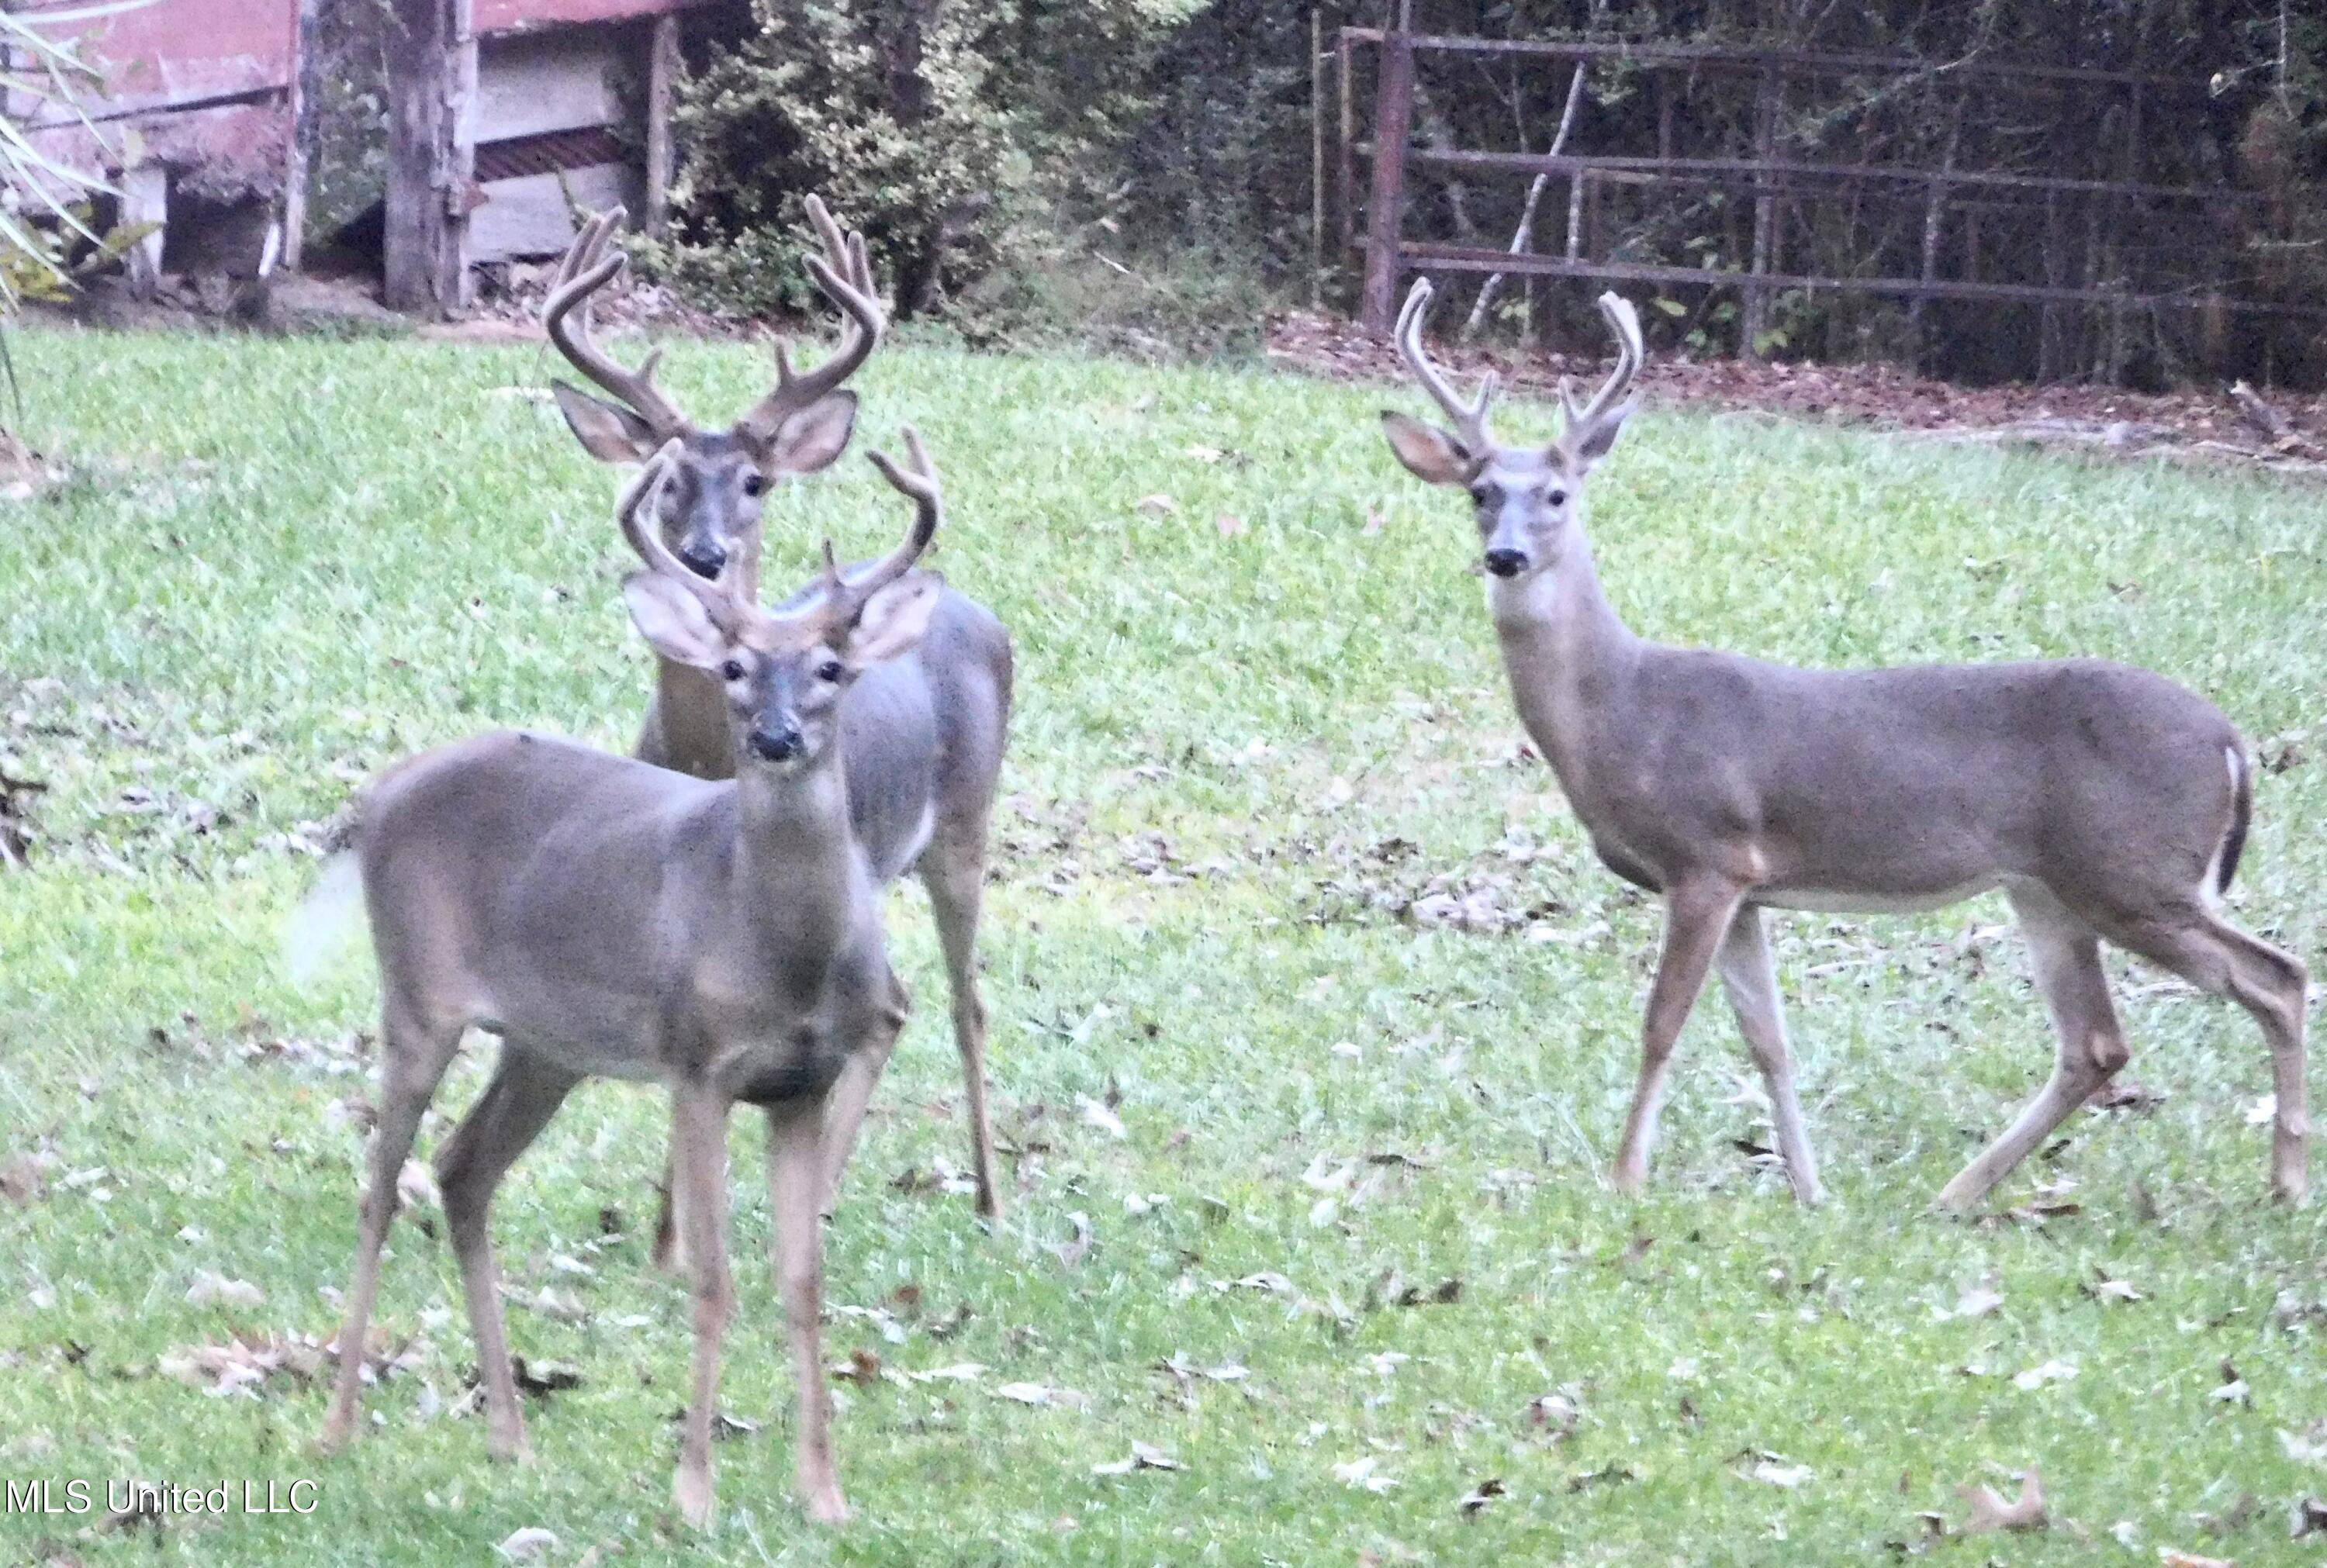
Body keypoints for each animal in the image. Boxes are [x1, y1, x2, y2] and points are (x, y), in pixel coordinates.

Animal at [317, 432, 954, 1528]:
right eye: (734, 666)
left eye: (831, 666)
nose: (775, 737)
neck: (778, 954)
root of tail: (381, 787)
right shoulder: (698, 1065)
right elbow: (712, 1279)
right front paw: (693, 1491)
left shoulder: (804, 1083)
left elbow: (801, 1281)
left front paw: (823, 1493)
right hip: (417, 998)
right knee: (379, 1186)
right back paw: (340, 1426)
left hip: (544, 1046)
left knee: (461, 1169)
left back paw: (510, 1436)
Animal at [541, 201, 1012, 1240]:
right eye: (666, 478)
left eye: (755, 482)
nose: (706, 557)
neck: (703, 757)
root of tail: (974, 610)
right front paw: (667, 1228)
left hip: (961, 822)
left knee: (951, 1003)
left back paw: (984, 1195)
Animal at [1378, 277, 2308, 1212]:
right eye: (1479, 491)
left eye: (1558, 495)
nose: (1505, 556)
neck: (1626, 711)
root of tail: (2231, 741)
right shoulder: (1749, 888)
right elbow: (1769, 1040)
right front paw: (1808, 1189)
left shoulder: (1705, 856)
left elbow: (1662, 1023)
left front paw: (1626, 1177)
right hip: (2050, 885)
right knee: (2098, 1043)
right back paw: (1956, 1195)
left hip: (2134, 871)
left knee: (2279, 978)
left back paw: (2287, 1183)